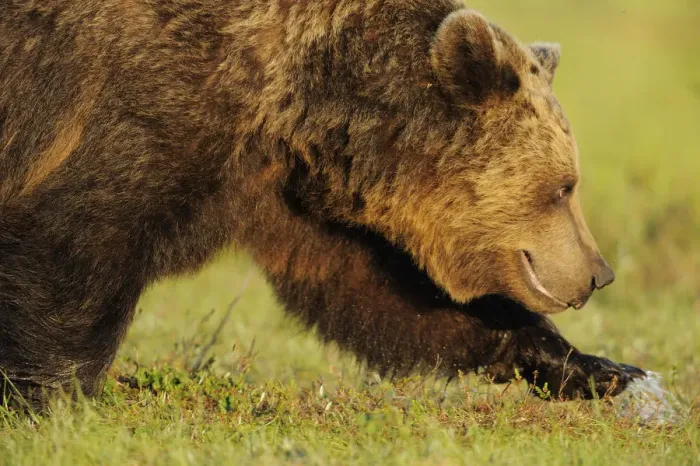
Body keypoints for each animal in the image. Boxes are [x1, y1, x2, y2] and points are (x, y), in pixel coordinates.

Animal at [0, 0, 645, 410]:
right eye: (564, 187)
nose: (600, 272)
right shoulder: (149, 102)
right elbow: (77, 247)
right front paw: (57, 399)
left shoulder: (281, 188)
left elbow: (379, 293)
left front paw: (603, 369)